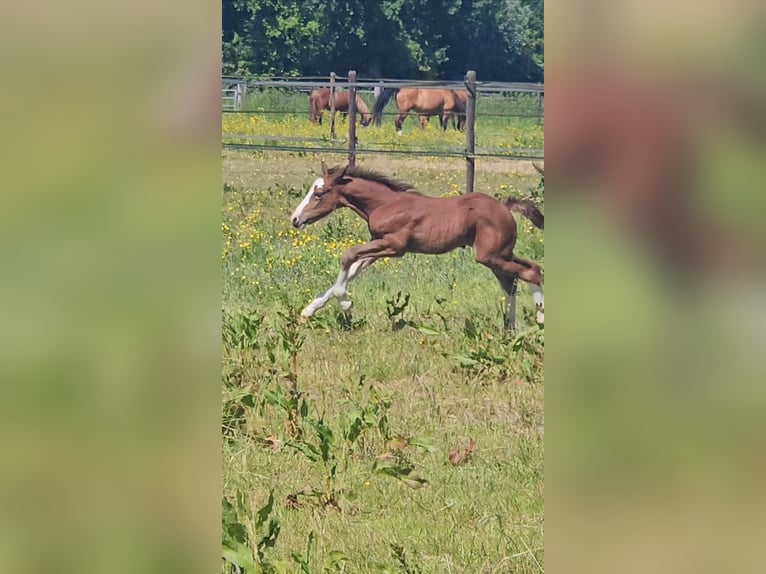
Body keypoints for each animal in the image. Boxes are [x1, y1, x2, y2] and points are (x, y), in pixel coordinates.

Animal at [290, 163, 544, 329]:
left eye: (319, 194)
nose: (295, 219)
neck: (385, 204)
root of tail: (505, 207)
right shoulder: (377, 244)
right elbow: (352, 270)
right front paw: (309, 310)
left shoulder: (394, 246)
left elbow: (348, 255)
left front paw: (345, 303)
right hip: (500, 254)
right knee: (516, 280)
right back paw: (509, 328)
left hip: (489, 255)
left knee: (531, 273)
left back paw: (539, 325)